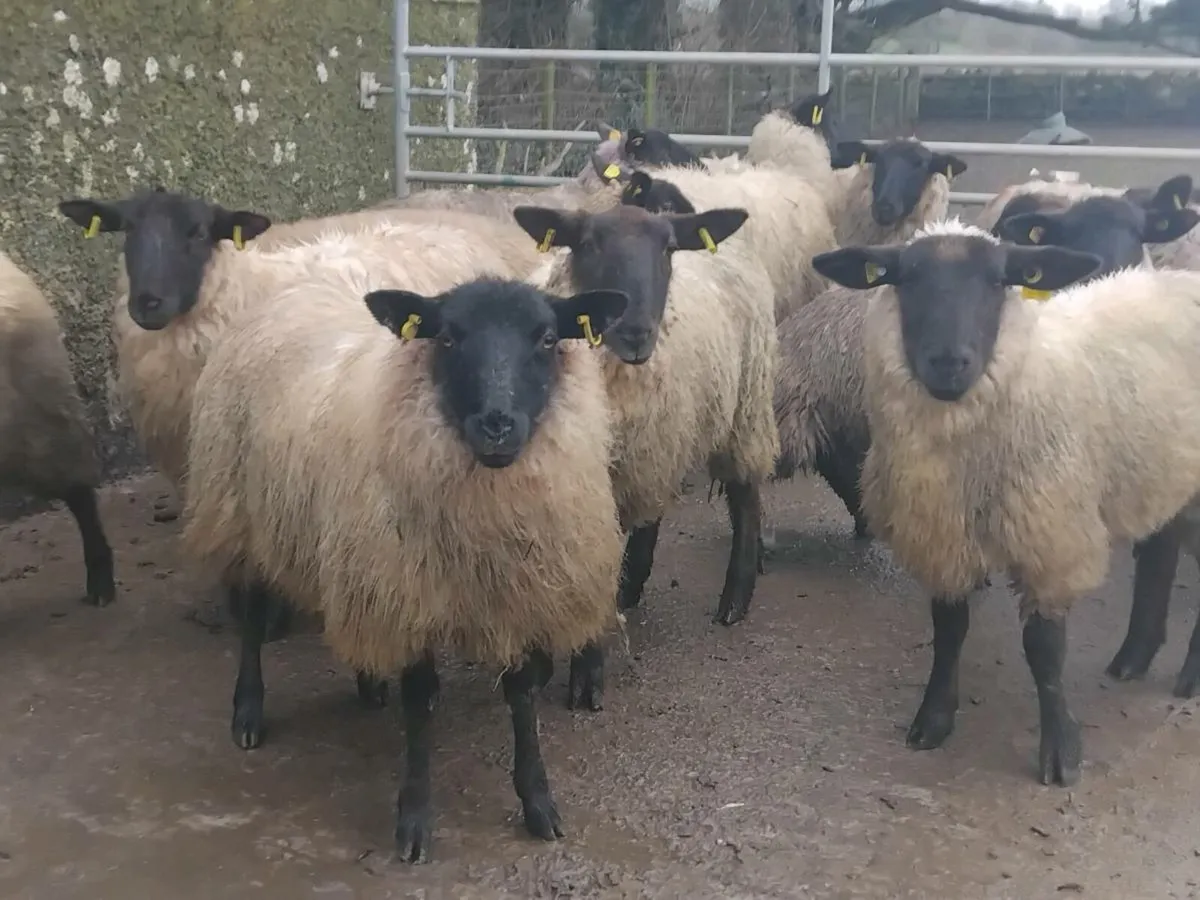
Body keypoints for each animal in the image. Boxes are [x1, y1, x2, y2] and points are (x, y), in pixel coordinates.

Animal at [181, 271, 628, 858]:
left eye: (549, 338)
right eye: (448, 338)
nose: (497, 425)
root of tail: (292, 292)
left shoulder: (509, 590)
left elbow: (521, 695)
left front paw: (538, 802)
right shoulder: (411, 588)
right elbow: (418, 706)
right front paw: (414, 819)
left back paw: (368, 682)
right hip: (243, 513)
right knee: (253, 620)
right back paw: (248, 713)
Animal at [512, 200, 779, 708]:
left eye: (669, 248)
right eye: (588, 244)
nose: (635, 332)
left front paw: (587, 672)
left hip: (745, 405)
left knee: (745, 495)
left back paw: (735, 599)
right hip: (659, 440)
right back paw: (633, 585)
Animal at [811, 217, 1200, 787]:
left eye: (999, 281)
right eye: (906, 278)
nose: (949, 362)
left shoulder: (1049, 539)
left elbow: (1044, 650)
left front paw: (1060, 752)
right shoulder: (945, 537)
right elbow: (949, 629)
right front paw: (934, 720)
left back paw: (1189, 675)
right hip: (1162, 471)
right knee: (1160, 551)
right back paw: (1133, 658)